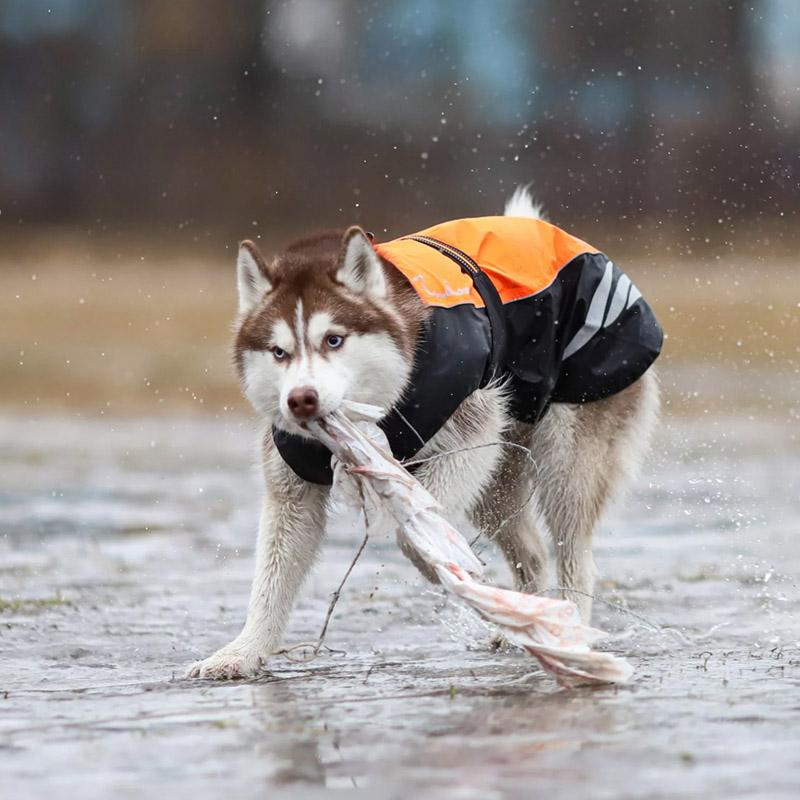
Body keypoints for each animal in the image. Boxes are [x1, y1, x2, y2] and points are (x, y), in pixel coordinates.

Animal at [184, 191, 660, 680]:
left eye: (334, 340)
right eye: (279, 352)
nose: (301, 399)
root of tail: (542, 228)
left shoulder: (470, 428)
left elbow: (410, 534)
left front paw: (440, 566)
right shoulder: (292, 489)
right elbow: (270, 581)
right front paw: (242, 652)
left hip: (564, 462)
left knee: (574, 553)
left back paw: (571, 631)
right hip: (493, 482)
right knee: (530, 552)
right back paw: (524, 625)